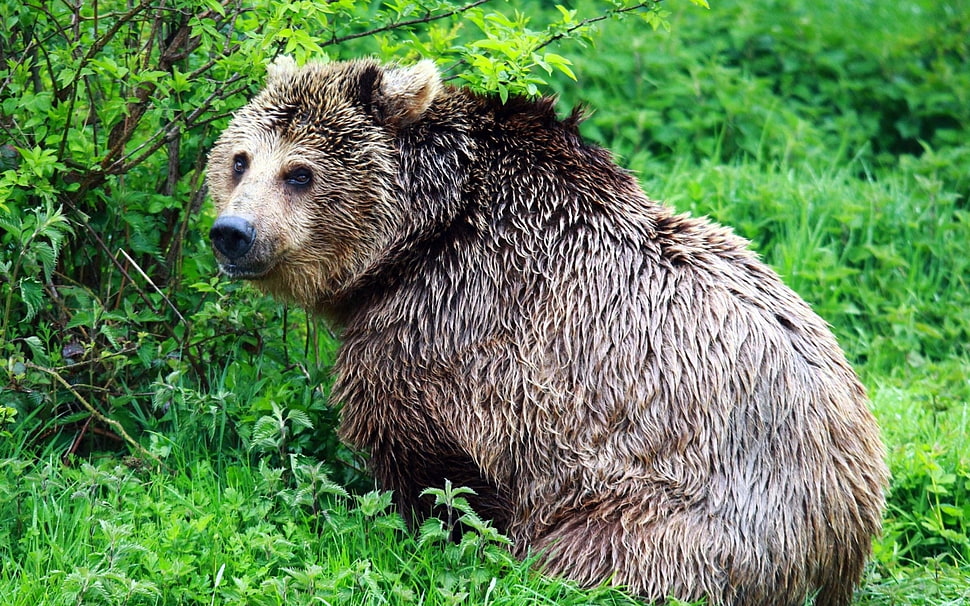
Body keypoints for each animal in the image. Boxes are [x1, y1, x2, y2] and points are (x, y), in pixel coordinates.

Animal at [207, 57, 889, 606]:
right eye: (240, 159)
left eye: (299, 173)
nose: (232, 233)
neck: (418, 236)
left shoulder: (448, 328)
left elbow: (432, 465)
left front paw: (428, 533)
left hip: (681, 513)